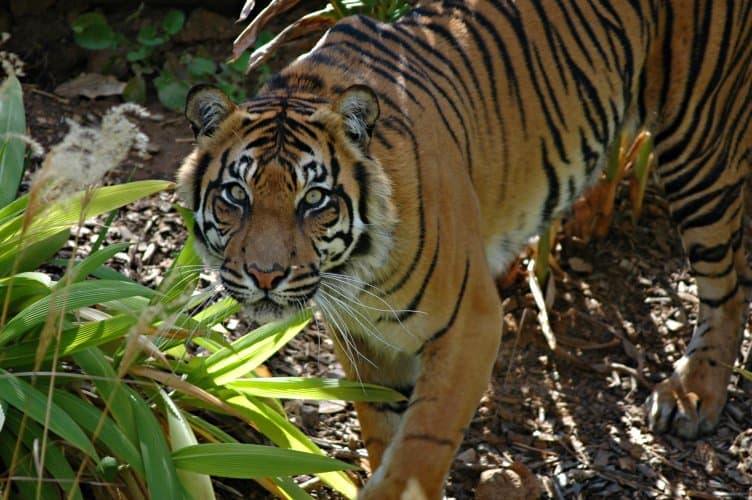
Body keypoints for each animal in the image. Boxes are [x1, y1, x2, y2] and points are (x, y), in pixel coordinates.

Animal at [178, 1, 752, 498]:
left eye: (314, 199)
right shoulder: (366, 340)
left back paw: (693, 395)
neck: (356, 275)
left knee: (728, 284)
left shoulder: (471, 323)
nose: (265, 275)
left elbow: (422, 442)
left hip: (698, 143)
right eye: (236, 195)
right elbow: (383, 426)